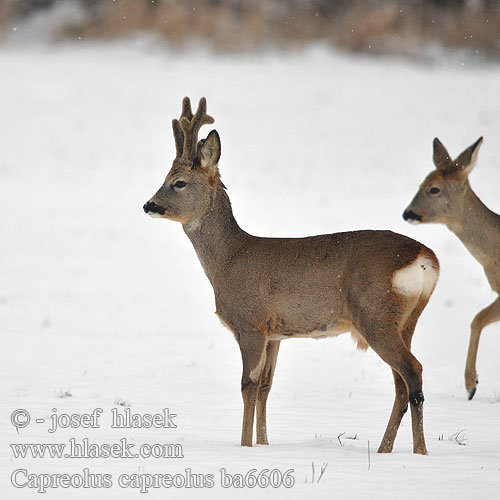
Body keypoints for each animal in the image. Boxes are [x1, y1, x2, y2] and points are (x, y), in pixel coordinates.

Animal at [144, 96, 438, 454]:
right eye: (165, 177)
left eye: (179, 182)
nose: (148, 205)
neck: (229, 260)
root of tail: (424, 257)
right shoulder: (275, 334)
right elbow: (266, 387)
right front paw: (264, 443)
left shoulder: (250, 323)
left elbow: (247, 385)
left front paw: (245, 446)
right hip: (406, 319)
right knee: (401, 383)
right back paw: (384, 450)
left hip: (375, 315)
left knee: (413, 371)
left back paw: (420, 451)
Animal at [404, 135, 498, 400]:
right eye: (421, 183)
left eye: (434, 188)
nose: (407, 213)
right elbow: (478, 319)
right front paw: (472, 384)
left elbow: (477, 319)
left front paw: (470, 384)